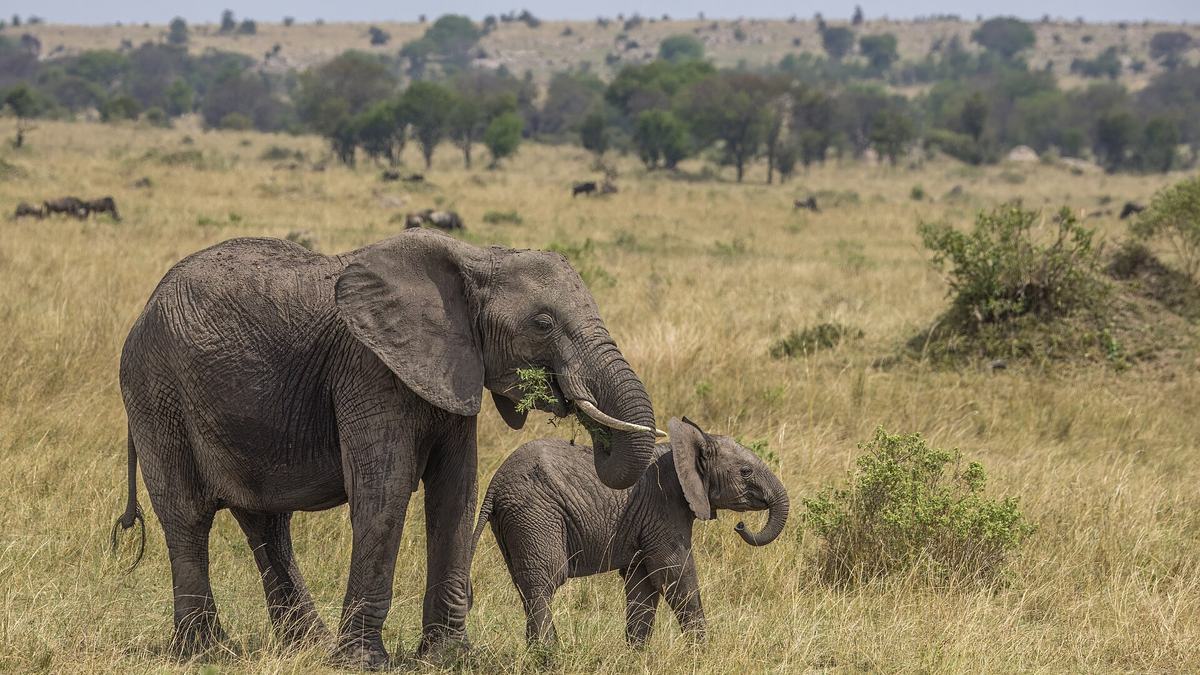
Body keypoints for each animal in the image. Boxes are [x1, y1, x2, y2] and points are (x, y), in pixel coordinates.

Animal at [112, 228, 662, 668]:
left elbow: (456, 495)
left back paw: (305, 647)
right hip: (156, 392)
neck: (476, 257)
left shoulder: (451, 372)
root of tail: (143, 309)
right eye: (543, 324)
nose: (590, 435)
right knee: (187, 515)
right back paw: (205, 652)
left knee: (265, 520)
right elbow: (384, 493)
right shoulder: (368, 369)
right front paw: (361, 663)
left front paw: (447, 658)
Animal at [473, 417, 790, 645]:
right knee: (544, 583)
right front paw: (701, 654)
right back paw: (548, 656)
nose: (740, 525)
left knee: (526, 586)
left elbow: (644, 584)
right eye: (746, 472)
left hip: (517, 521)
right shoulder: (663, 508)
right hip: (535, 514)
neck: (682, 447)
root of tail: (494, 487)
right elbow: (674, 573)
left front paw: (636, 657)